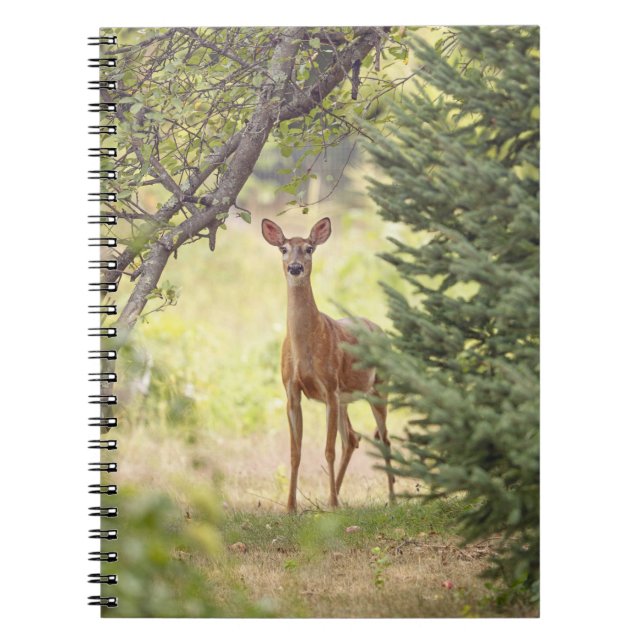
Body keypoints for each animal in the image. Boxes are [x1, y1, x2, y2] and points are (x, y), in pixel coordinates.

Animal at [262, 216, 396, 513]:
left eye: (309, 248)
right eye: (283, 248)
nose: (295, 267)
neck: (305, 347)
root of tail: (380, 329)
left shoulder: (330, 387)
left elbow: (328, 450)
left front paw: (331, 504)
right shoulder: (291, 391)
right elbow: (295, 452)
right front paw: (291, 506)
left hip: (379, 388)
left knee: (383, 439)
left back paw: (390, 498)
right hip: (346, 398)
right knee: (353, 438)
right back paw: (335, 496)